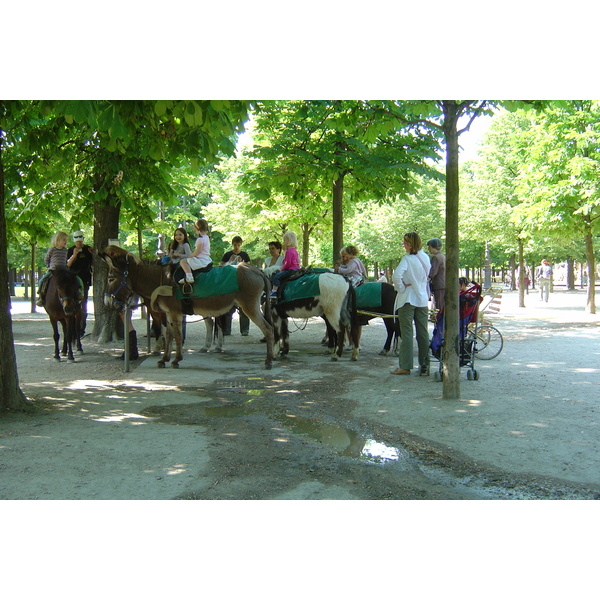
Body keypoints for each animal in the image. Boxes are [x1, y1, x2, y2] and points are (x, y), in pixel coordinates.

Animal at [99, 245, 276, 368]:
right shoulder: (168, 314)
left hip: (249, 307)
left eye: (110, 278)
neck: (162, 280)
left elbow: (177, 336)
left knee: (268, 329)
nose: (107, 303)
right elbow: (169, 335)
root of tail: (257, 270)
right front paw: (164, 359)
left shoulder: (174, 313)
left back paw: (268, 360)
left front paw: (176, 360)